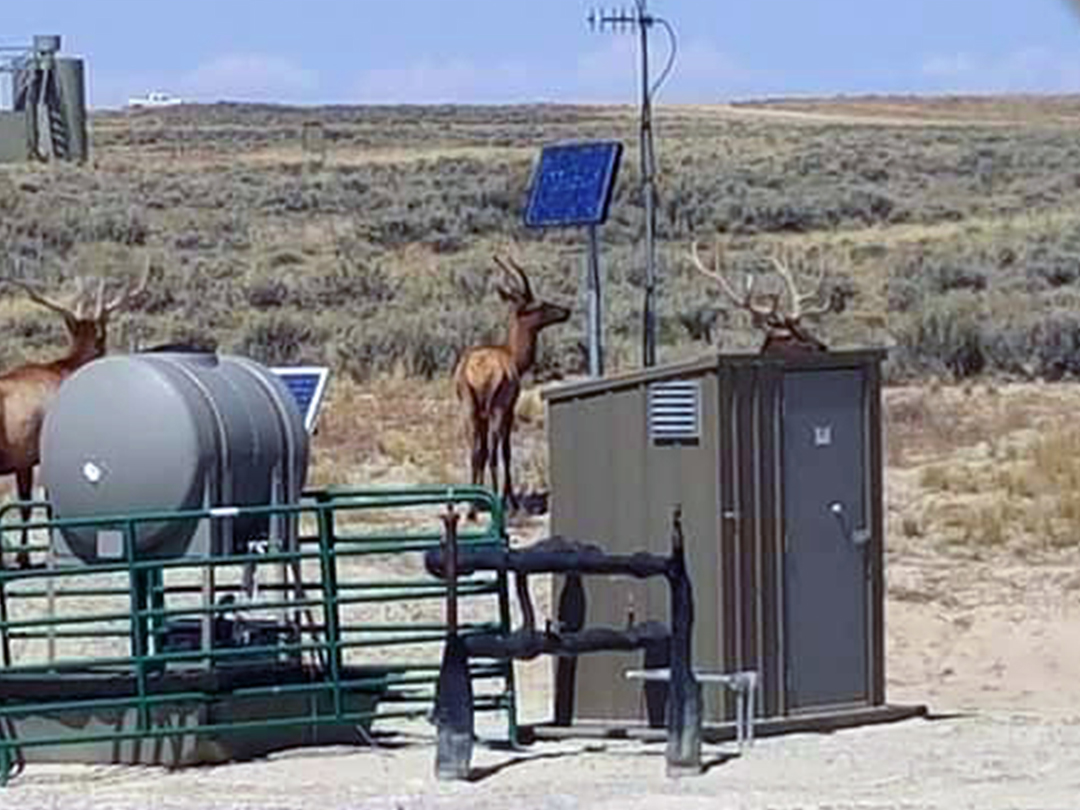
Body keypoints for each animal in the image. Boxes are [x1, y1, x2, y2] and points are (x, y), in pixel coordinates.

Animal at [0, 263, 151, 567]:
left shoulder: (24, 457)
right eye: (103, 335)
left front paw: (25, 557)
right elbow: (45, 506)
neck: (67, 370)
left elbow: (25, 505)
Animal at [453, 255, 570, 516]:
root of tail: (477, 369)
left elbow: (480, 452)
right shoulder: (509, 409)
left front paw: (478, 501)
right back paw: (498, 503)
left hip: (470, 411)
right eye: (537, 305)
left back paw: (472, 507)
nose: (566, 311)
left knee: (475, 451)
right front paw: (512, 500)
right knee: (494, 453)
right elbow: (506, 451)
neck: (512, 354)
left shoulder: (483, 415)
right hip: (495, 410)